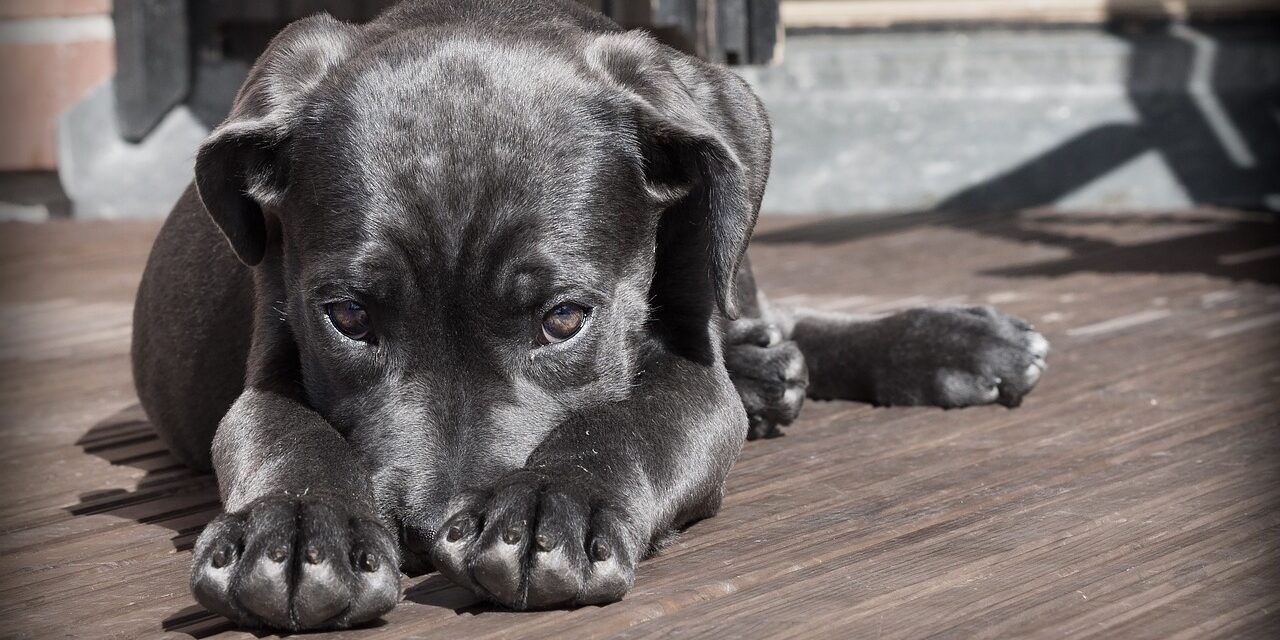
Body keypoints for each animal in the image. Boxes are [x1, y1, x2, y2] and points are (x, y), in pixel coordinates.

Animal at [132, 0, 1049, 629]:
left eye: (565, 319)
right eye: (349, 317)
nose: (427, 532)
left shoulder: (689, 368)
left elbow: (632, 421)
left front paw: (552, 506)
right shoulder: (271, 357)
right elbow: (282, 431)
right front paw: (295, 529)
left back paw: (947, 342)